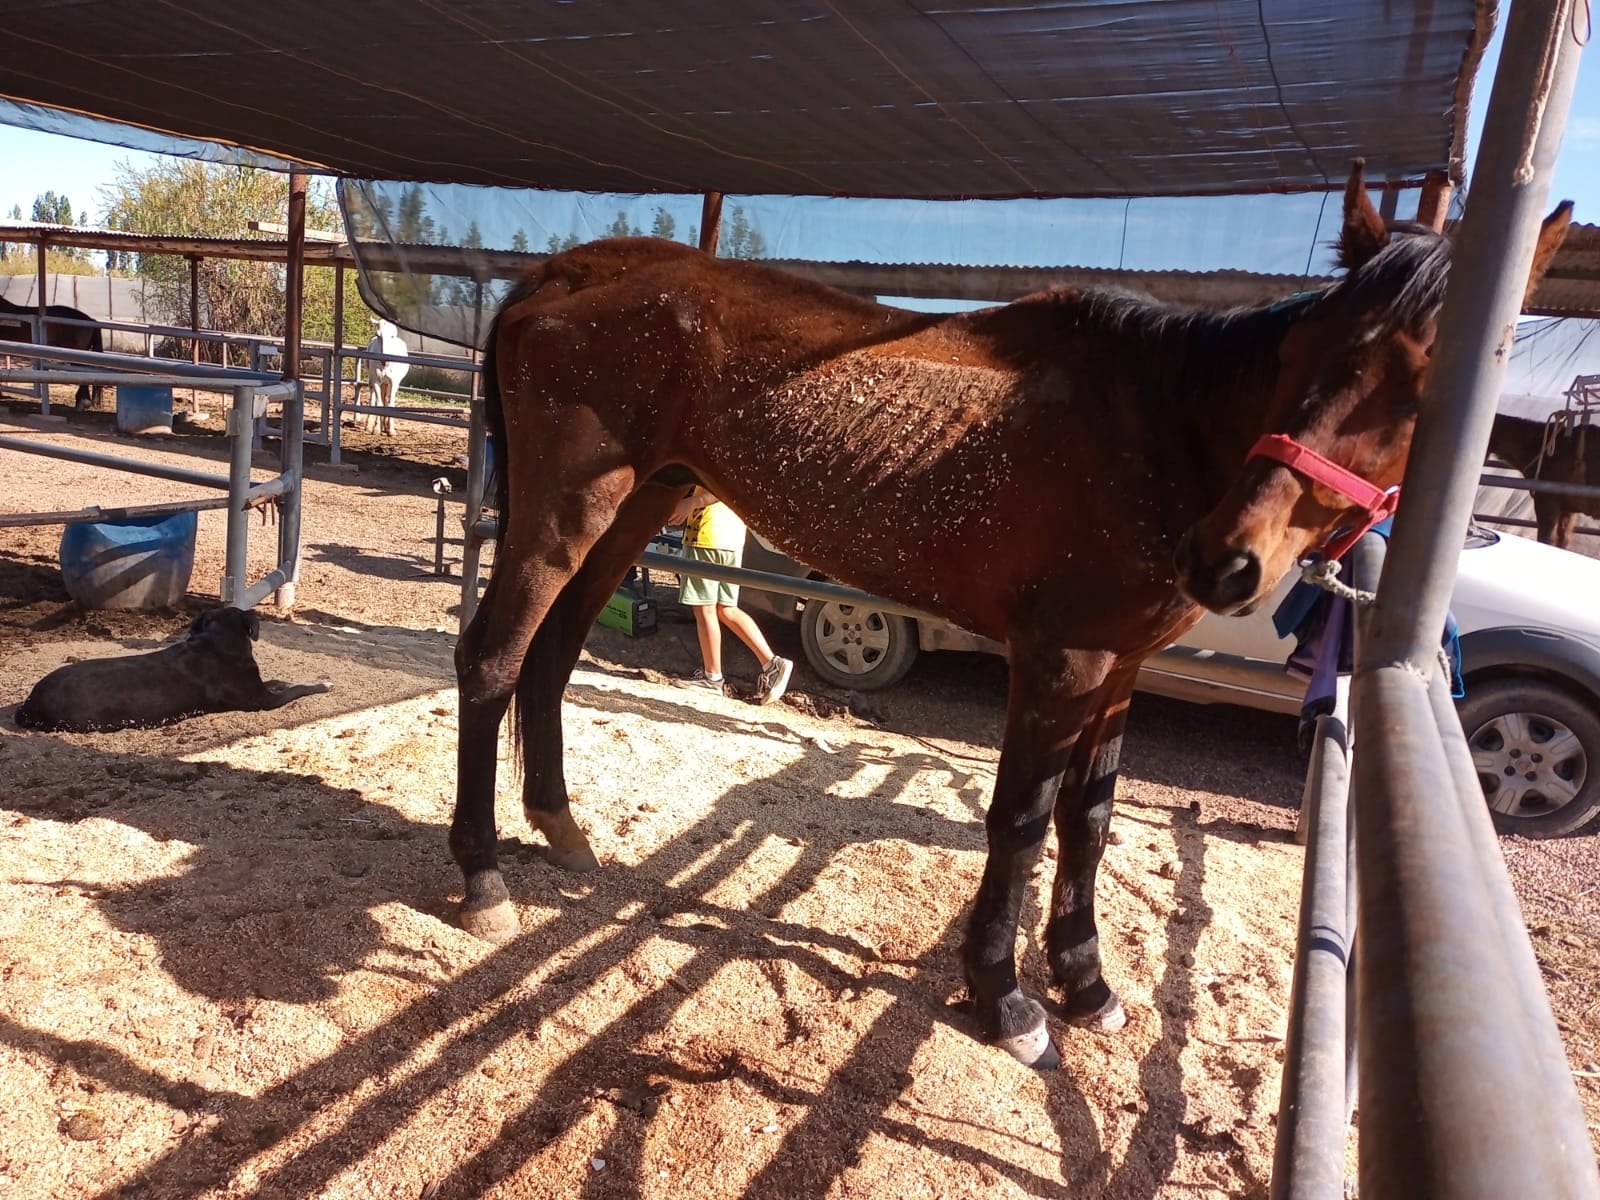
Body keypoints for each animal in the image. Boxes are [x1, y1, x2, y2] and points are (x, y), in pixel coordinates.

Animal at [14, 611, 332, 732]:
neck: (217, 640)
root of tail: (30, 703)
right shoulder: (263, 701)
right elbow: (297, 689)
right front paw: (322, 684)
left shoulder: (261, 687)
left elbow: (280, 681)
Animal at [451, 162, 1574, 1068]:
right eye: (1302, 360)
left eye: (1432, 388)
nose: (1226, 559)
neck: (1158, 434)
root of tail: (564, 275)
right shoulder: (1060, 660)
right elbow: (1023, 820)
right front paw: (1006, 1000)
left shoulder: (1119, 668)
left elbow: (1090, 818)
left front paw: (1084, 982)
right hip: (565, 508)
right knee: (493, 657)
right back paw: (481, 875)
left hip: (637, 504)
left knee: (552, 655)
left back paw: (561, 829)